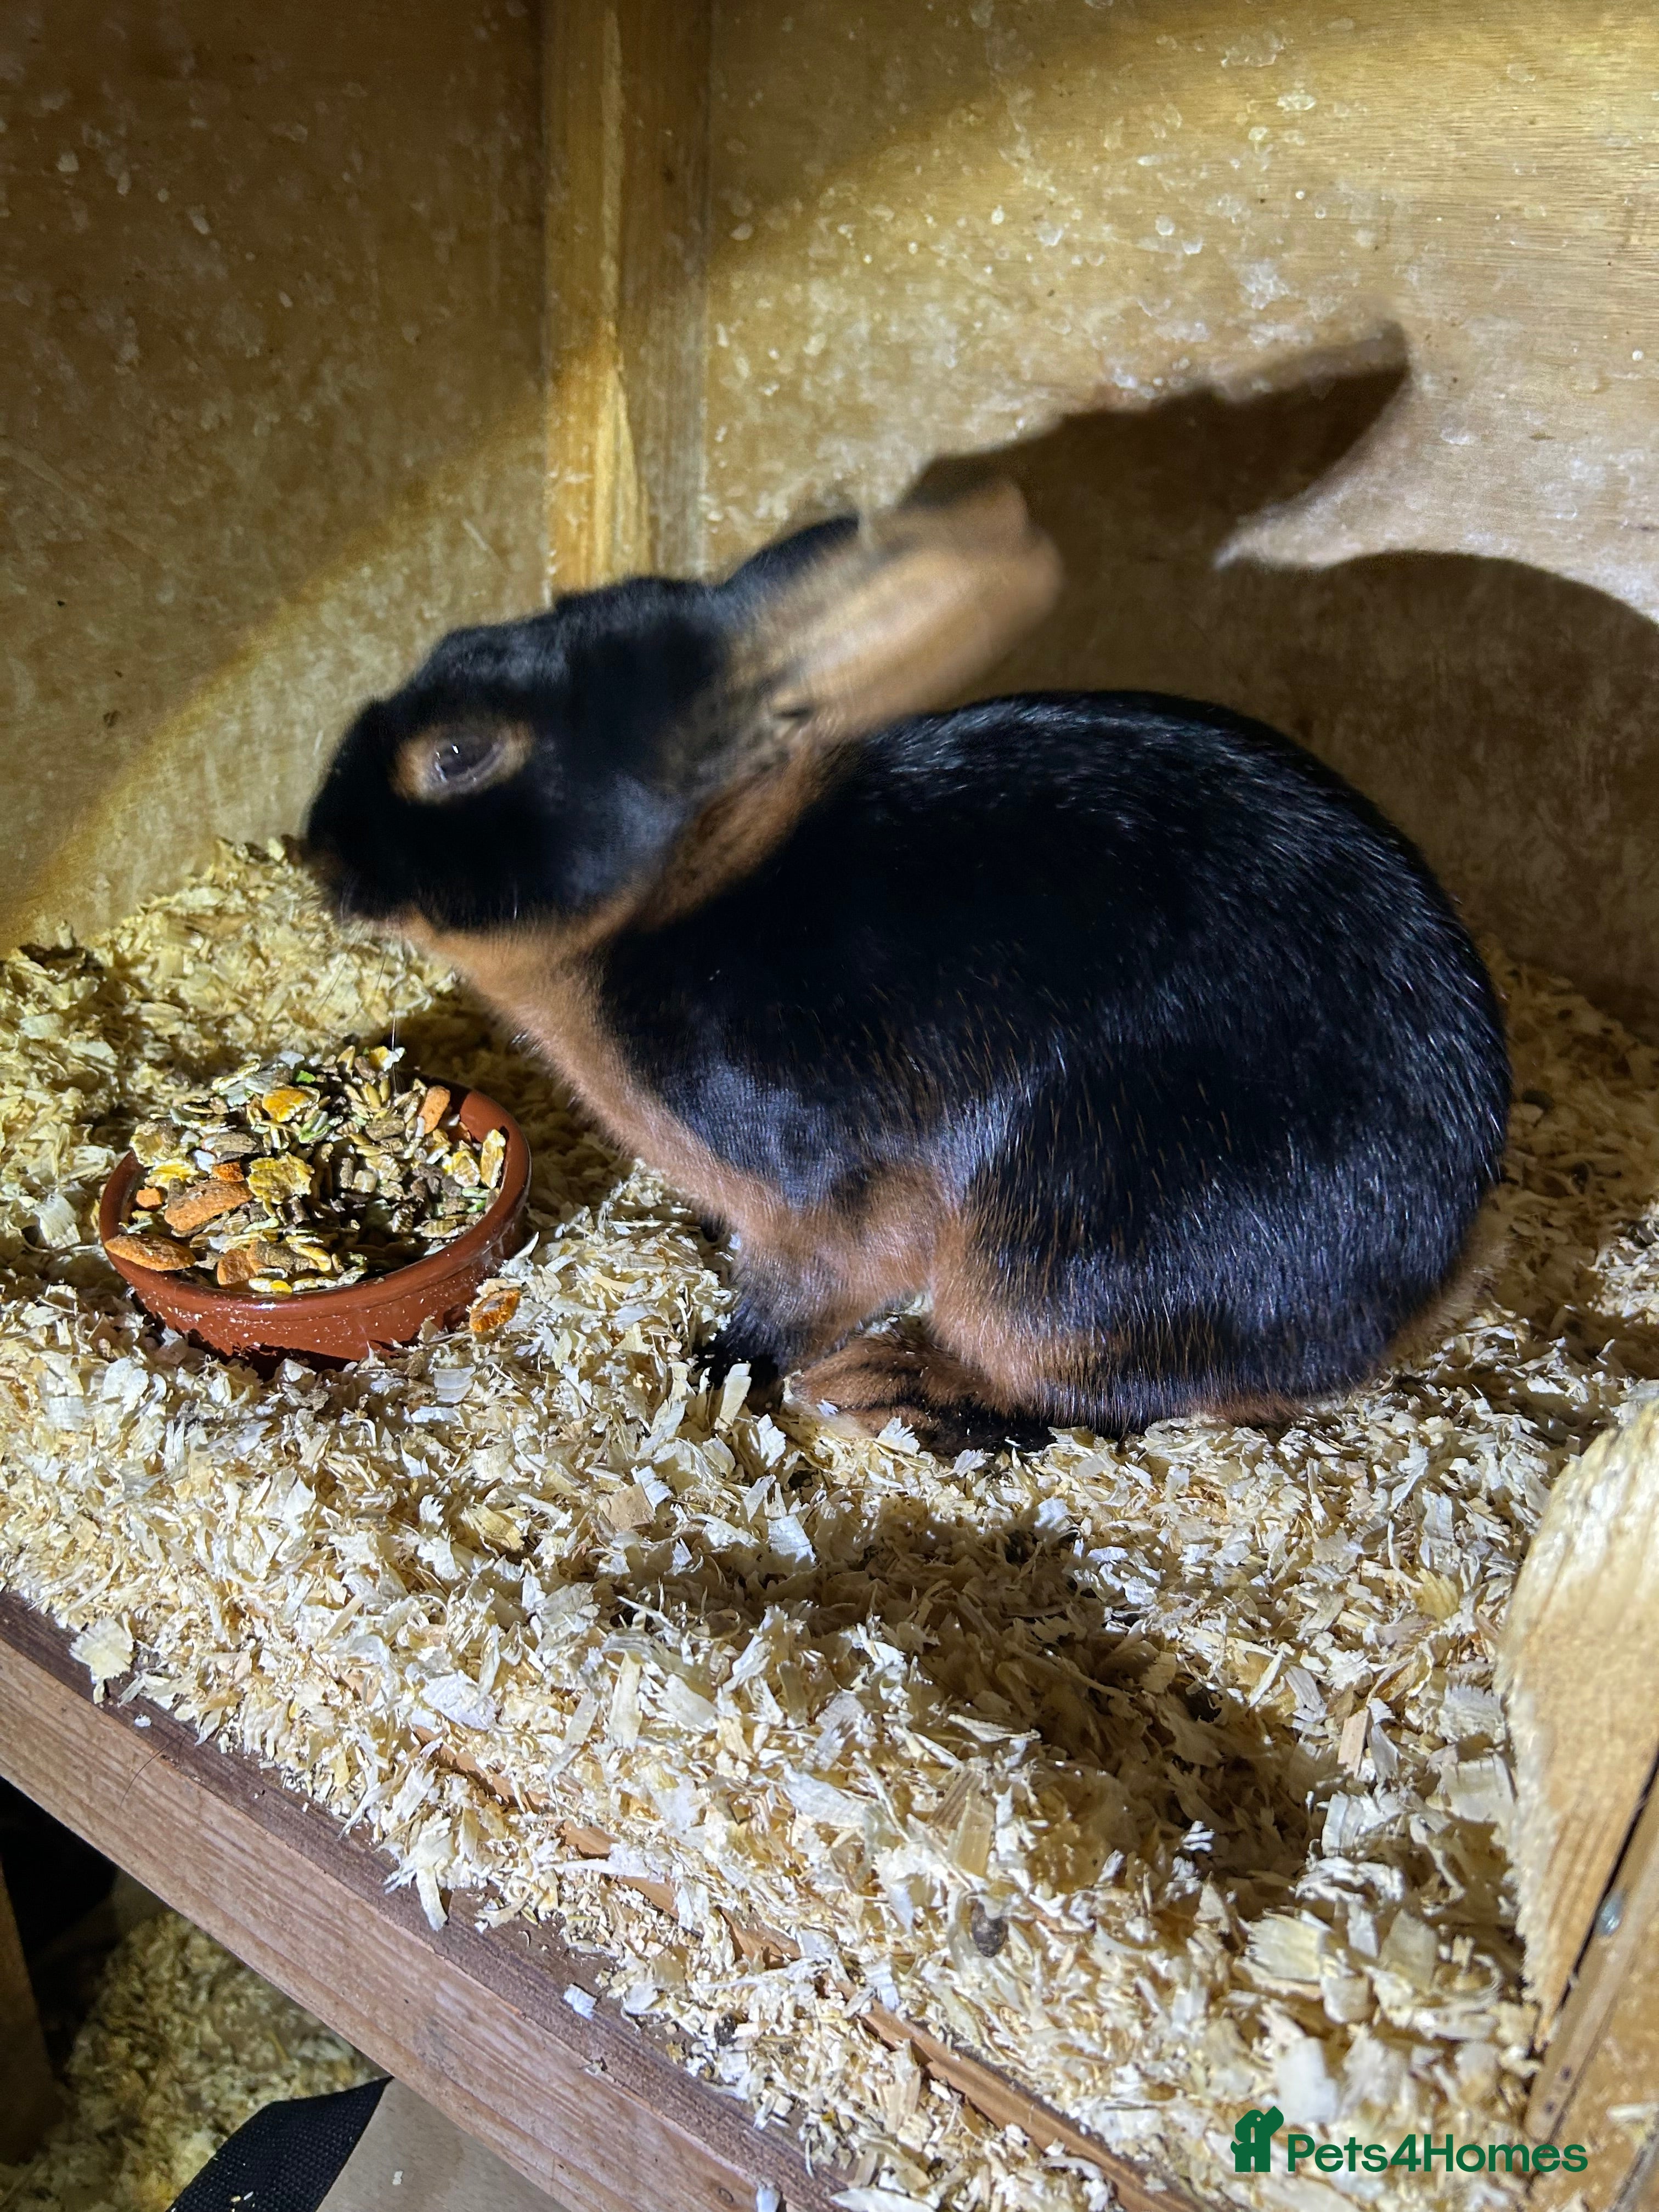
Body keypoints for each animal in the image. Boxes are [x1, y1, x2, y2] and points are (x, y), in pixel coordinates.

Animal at [305, 480, 1511, 1454]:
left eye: (459, 756)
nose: (321, 844)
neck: (673, 895)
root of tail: (1421, 1283)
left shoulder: (825, 1193)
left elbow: (803, 1291)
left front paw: (717, 1365)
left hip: (1068, 1263)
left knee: (1088, 1400)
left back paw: (889, 1387)